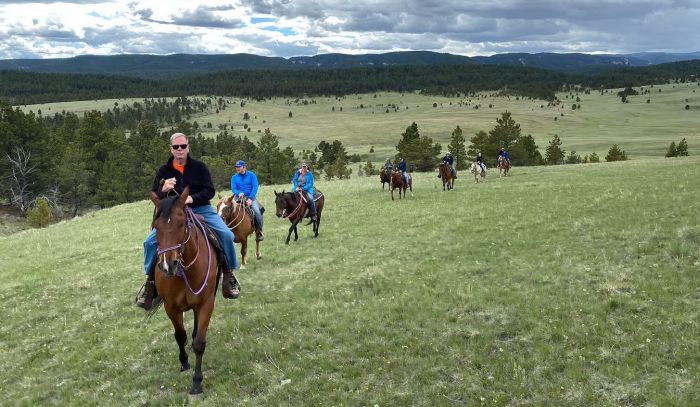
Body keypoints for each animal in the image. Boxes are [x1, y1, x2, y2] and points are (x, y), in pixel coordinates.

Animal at [150, 190, 221, 396]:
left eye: (182, 223)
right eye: (155, 226)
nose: (168, 265)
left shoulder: (207, 303)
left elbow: (199, 343)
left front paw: (197, 382)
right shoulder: (171, 307)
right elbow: (180, 335)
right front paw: (184, 362)